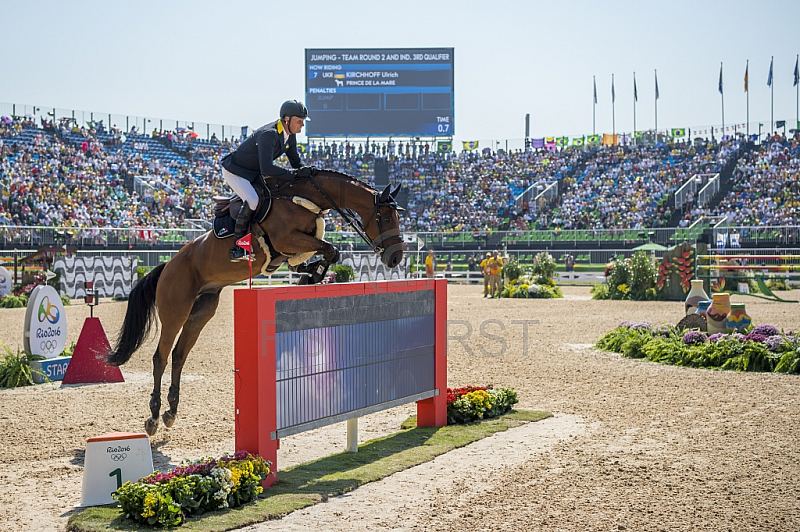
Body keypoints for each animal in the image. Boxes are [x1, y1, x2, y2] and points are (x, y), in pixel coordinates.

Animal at [106, 170, 404, 436]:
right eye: (387, 216)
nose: (396, 258)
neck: (304, 197)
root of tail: (167, 265)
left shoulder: (296, 246)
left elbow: (326, 252)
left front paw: (309, 274)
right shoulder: (287, 239)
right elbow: (331, 249)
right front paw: (313, 275)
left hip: (201, 311)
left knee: (179, 355)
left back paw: (171, 411)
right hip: (175, 310)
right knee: (161, 357)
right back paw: (154, 417)